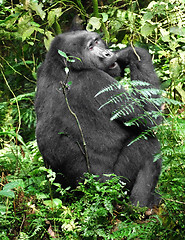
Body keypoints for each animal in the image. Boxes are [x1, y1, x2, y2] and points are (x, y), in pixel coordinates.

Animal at [35, 30, 162, 207]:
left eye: (96, 41)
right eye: (90, 47)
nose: (108, 54)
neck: (64, 65)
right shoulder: (96, 80)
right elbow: (151, 118)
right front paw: (132, 53)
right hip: (114, 186)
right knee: (147, 144)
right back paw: (140, 205)